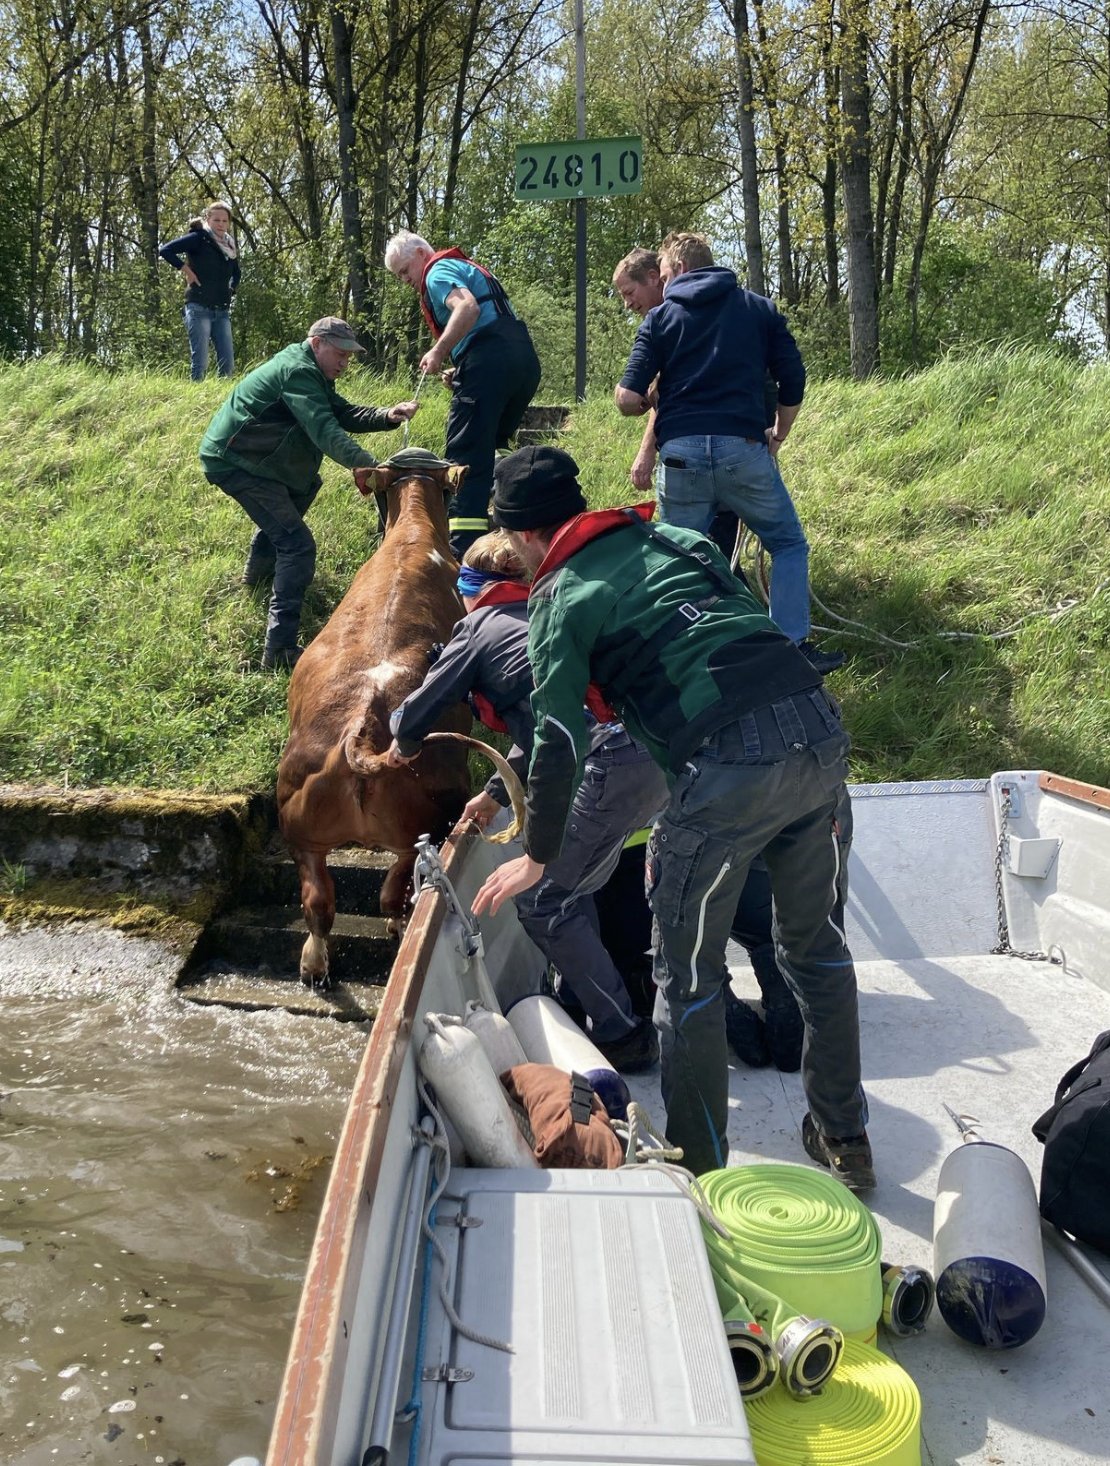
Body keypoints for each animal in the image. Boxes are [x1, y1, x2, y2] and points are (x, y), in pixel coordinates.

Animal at [276, 448, 472, 988]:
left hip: (300, 833)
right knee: (391, 894)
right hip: (424, 829)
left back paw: (313, 964)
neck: (412, 536)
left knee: (319, 904)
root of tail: (361, 737)